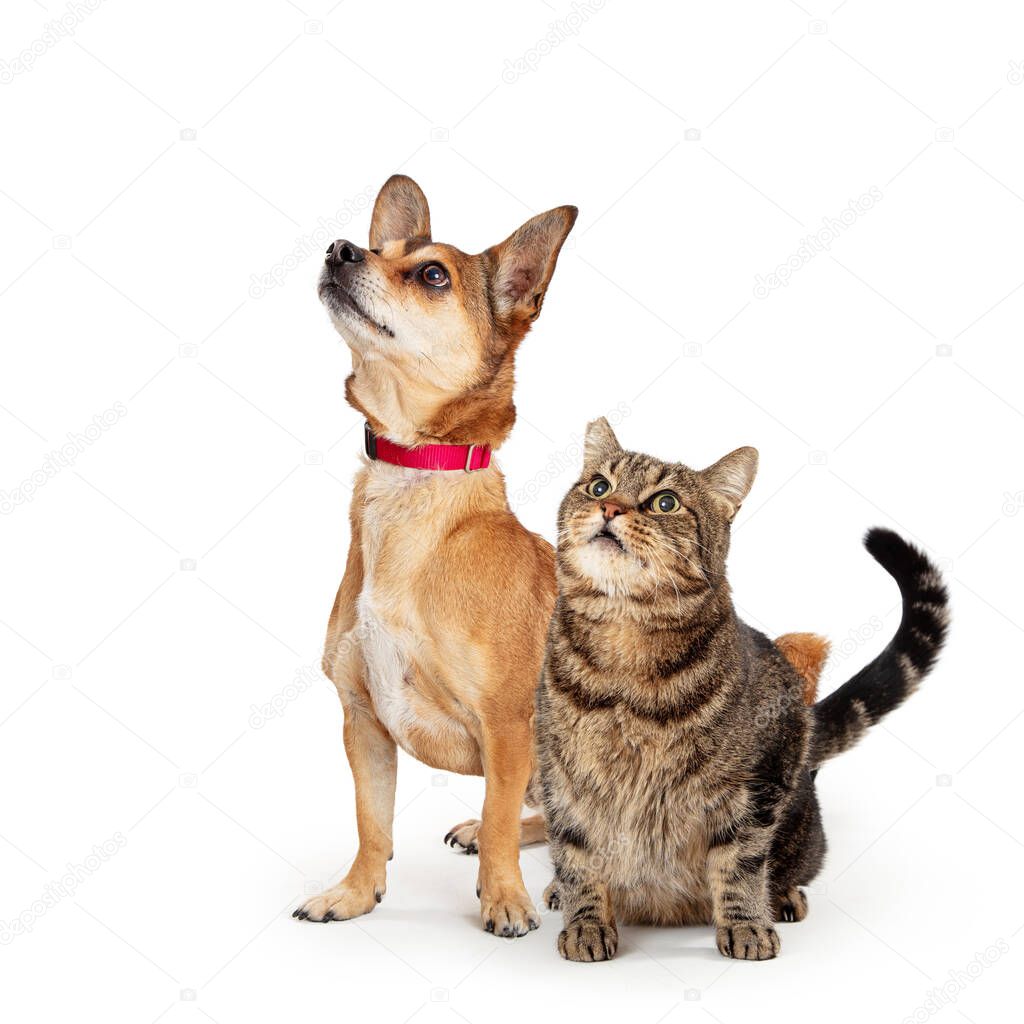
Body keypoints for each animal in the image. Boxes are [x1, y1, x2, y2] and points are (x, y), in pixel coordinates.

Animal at [292, 176, 827, 937]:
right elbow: (373, 823)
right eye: (378, 249)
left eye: (432, 275)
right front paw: (356, 893)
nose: (339, 250)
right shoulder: (363, 724)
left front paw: (504, 898)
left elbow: (500, 812)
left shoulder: (509, 726)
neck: (414, 501)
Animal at [540, 417, 946, 958]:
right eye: (599, 486)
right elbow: (576, 856)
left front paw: (746, 924)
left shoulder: (758, 784)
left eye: (665, 502)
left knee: (792, 867)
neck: (625, 642)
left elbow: (740, 862)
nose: (609, 508)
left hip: (801, 821)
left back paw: (784, 896)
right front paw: (584, 922)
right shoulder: (560, 778)